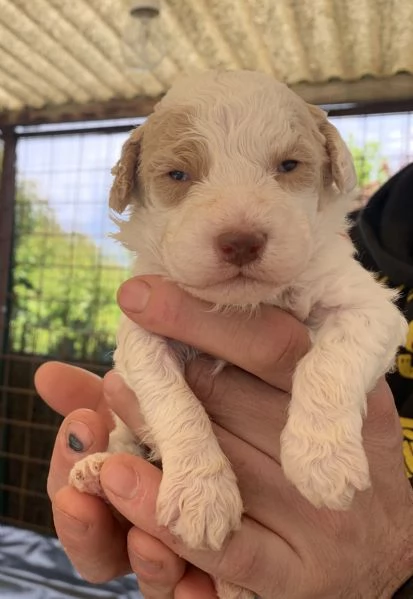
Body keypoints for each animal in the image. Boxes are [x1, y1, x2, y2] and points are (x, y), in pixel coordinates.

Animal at [70, 71, 406, 599]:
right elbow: (173, 401)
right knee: (126, 443)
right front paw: (202, 494)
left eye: (289, 165)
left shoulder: (369, 308)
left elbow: (330, 362)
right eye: (179, 176)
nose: (241, 241)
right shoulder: (141, 331)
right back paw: (97, 470)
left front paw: (322, 459)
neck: (243, 304)